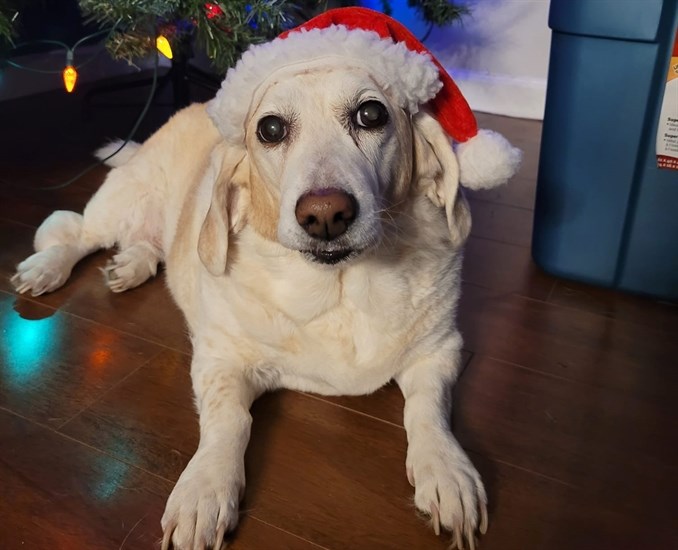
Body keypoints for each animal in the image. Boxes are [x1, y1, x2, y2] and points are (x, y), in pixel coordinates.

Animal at [10, 8, 524, 550]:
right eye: (271, 128)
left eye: (371, 115)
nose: (325, 214)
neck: (338, 290)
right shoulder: (220, 360)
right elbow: (229, 421)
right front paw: (204, 490)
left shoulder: (439, 351)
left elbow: (428, 410)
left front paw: (446, 472)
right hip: (120, 202)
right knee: (73, 231)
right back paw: (46, 268)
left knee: (147, 246)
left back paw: (129, 266)